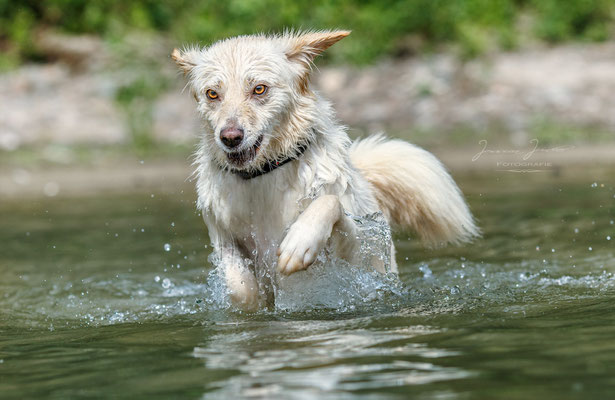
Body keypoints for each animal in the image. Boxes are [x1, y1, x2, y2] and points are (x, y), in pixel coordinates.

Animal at [173, 30, 482, 310]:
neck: (265, 174)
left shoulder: (354, 260)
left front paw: (299, 243)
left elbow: (330, 203)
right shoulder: (222, 235)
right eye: (213, 94)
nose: (230, 137)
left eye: (259, 89)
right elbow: (240, 287)